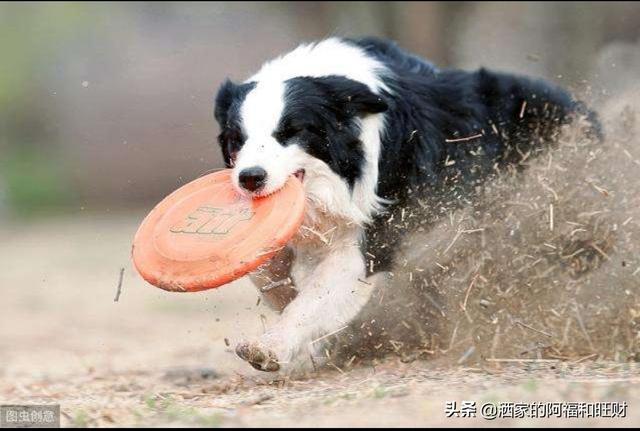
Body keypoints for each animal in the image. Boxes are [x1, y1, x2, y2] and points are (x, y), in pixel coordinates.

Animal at [215, 38, 600, 374]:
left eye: (291, 132)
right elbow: (267, 272)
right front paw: (308, 342)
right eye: (238, 139)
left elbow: (315, 297)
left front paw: (271, 347)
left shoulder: (370, 234)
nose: (250, 178)